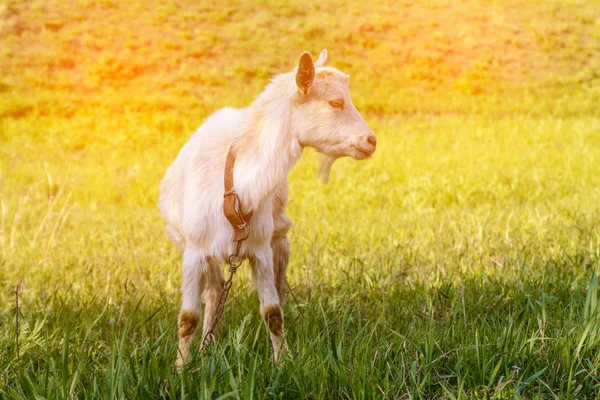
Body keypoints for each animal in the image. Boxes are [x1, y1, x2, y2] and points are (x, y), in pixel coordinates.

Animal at [159, 49, 376, 366]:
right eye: (336, 102)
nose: (371, 141)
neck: (234, 185)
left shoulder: (259, 249)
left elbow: (272, 312)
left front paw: (283, 362)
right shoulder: (194, 252)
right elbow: (188, 317)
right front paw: (181, 368)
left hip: (279, 239)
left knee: (273, 290)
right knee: (213, 292)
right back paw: (205, 348)